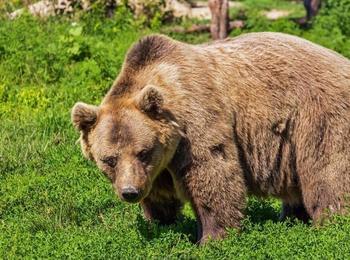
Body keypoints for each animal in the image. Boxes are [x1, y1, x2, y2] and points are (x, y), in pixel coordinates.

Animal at [71, 32, 350, 244]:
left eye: (143, 152)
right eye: (109, 159)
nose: (129, 192)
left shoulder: (197, 122)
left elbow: (213, 175)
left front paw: (212, 238)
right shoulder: (158, 165)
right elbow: (160, 195)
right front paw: (160, 224)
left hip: (318, 116)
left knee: (328, 172)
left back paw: (330, 223)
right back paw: (292, 218)